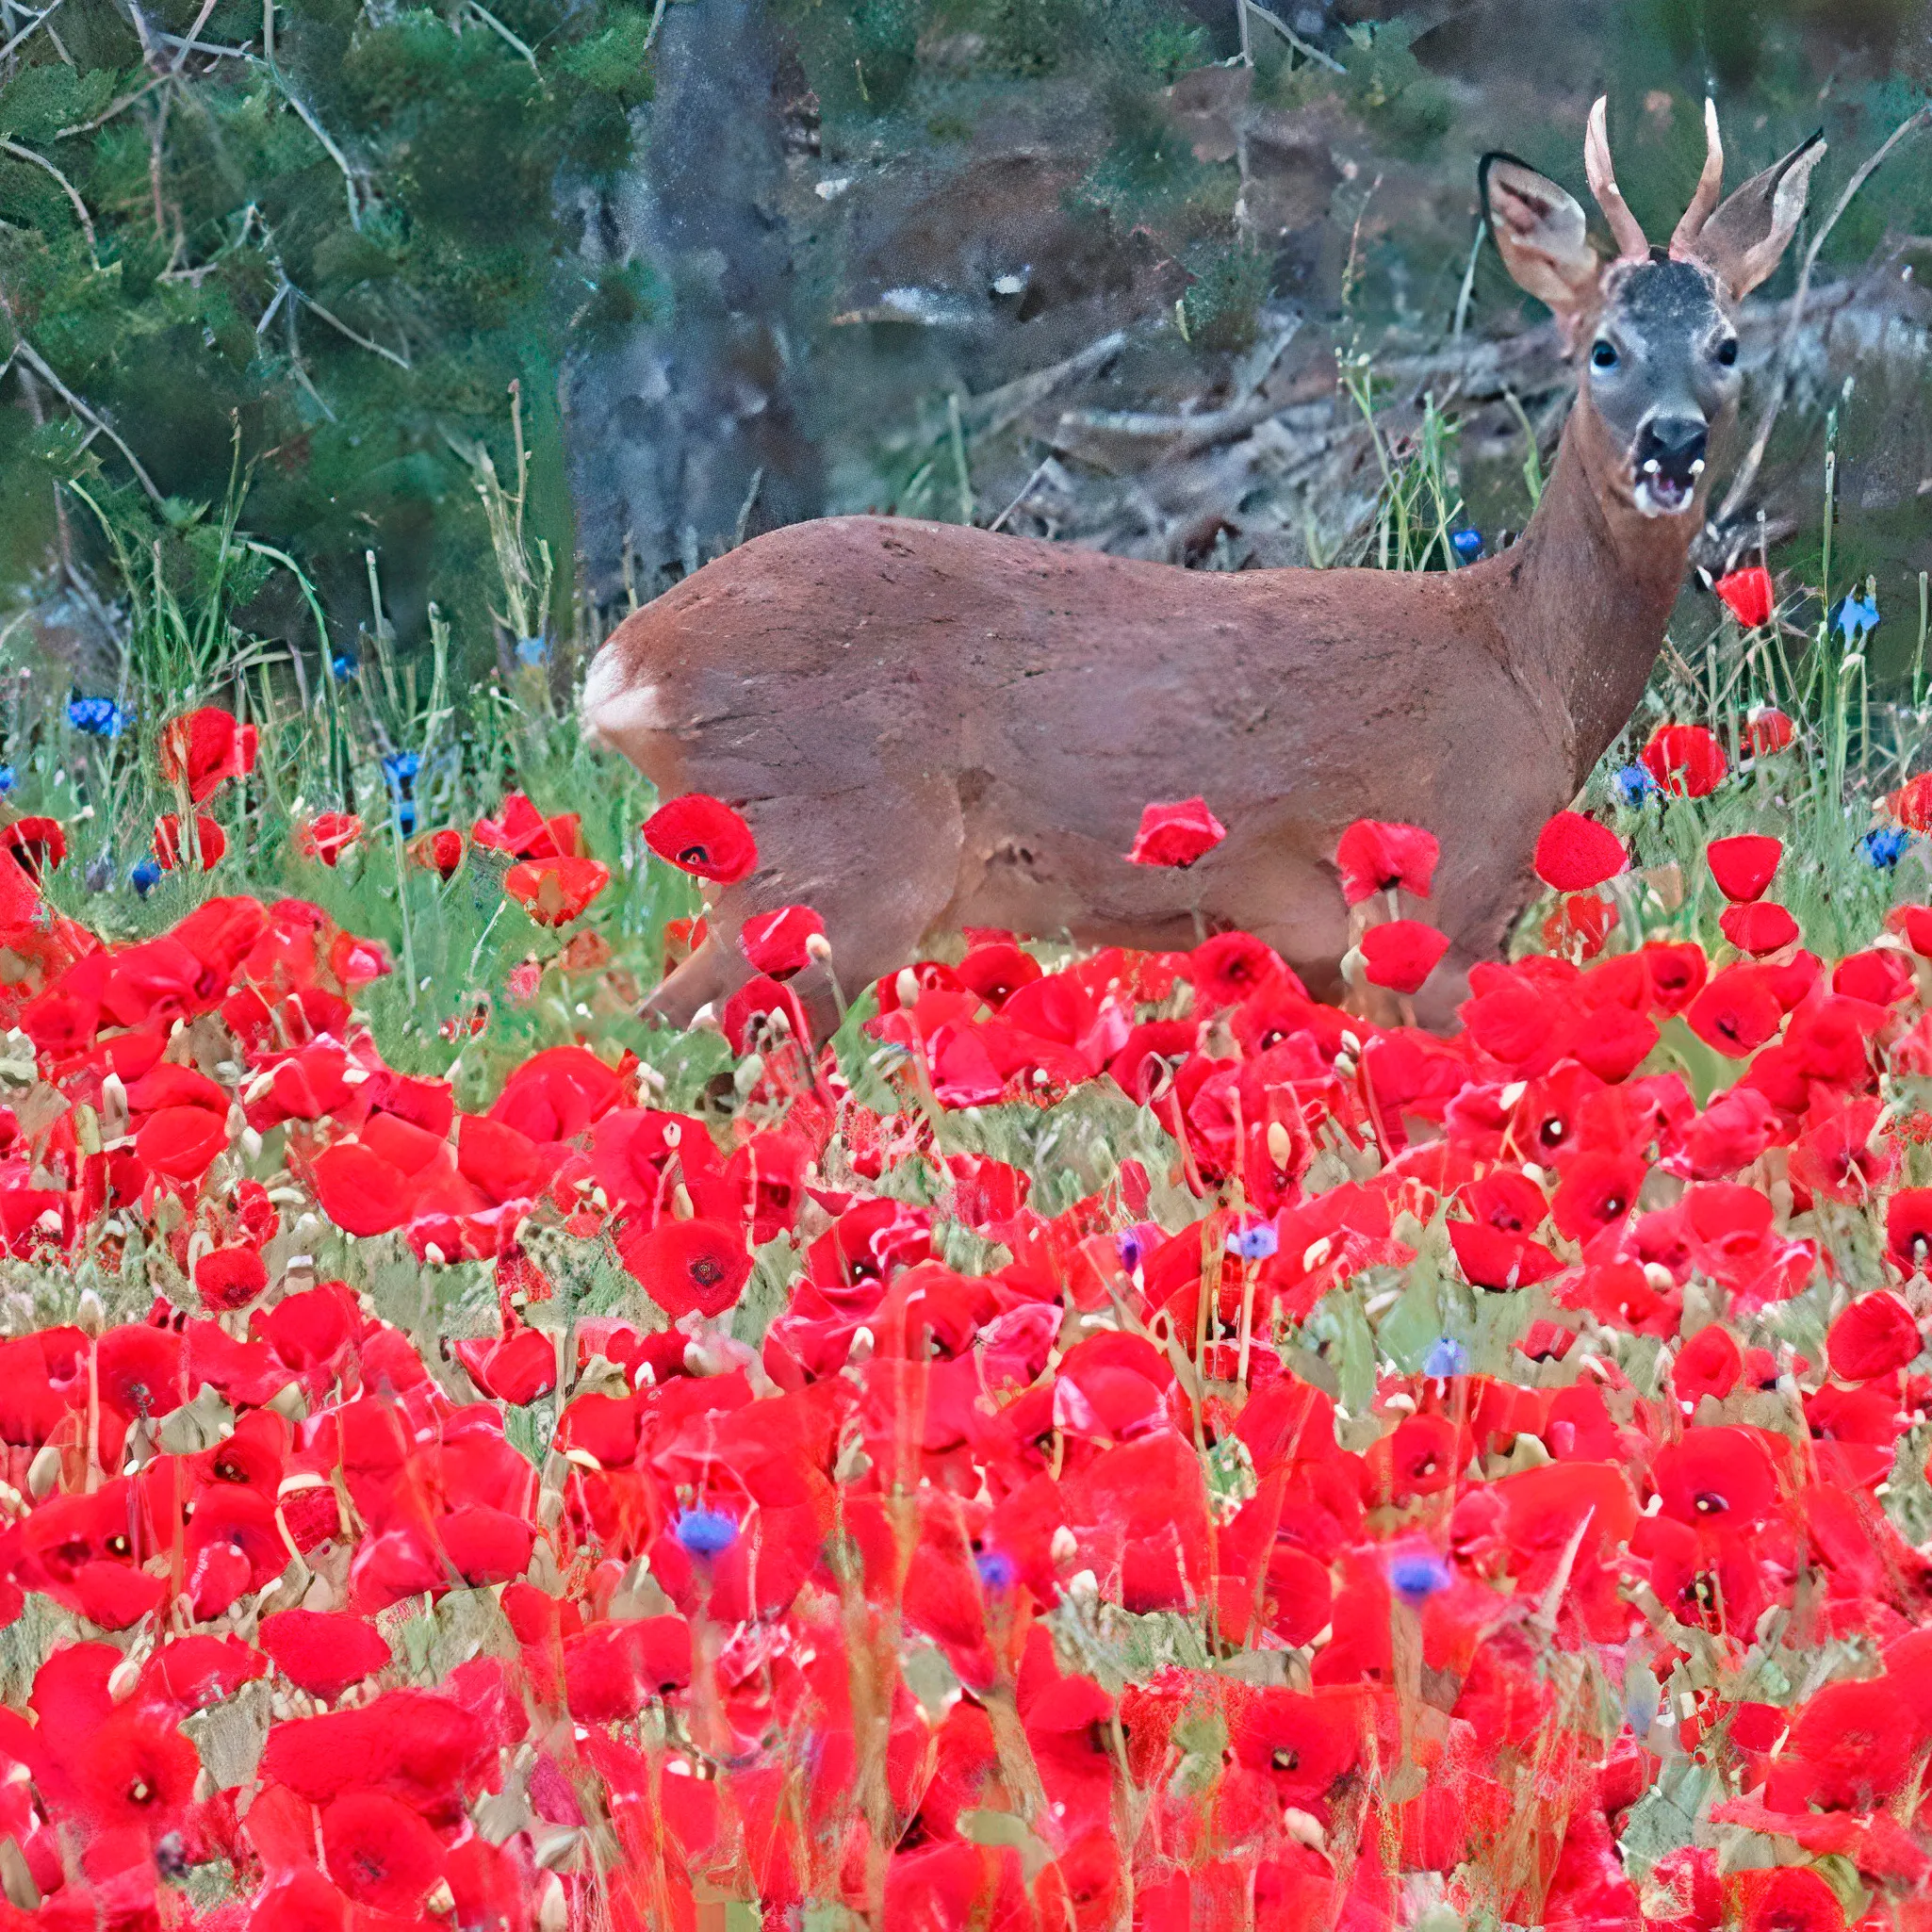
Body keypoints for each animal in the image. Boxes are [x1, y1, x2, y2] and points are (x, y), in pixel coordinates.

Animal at [582, 99, 1824, 1039]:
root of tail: (627, 662)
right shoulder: (1441, 896)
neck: (1527, 667)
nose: (1672, 443)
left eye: (1726, 346)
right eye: (1602, 350)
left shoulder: (1318, 950)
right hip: (835, 851)